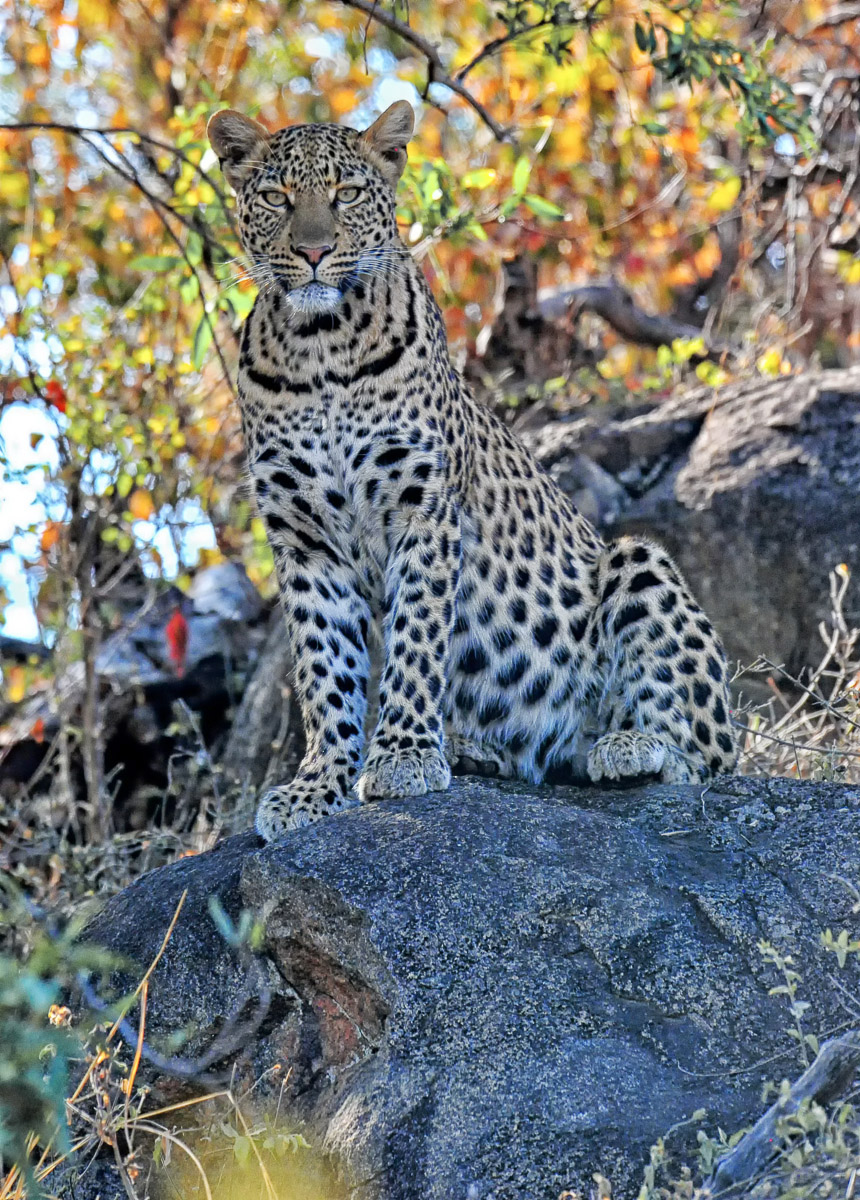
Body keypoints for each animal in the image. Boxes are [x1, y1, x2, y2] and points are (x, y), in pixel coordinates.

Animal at [207, 100, 738, 841]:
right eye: (277, 198)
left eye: (347, 194)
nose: (313, 253)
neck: (321, 349)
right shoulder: (303, 538)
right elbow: (324, 668)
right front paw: (319, 786)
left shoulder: (422, 509)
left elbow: (416, 638)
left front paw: (401, 756)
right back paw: (475, 747)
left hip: (639, 565)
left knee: (704, 758)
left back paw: (629, 747)